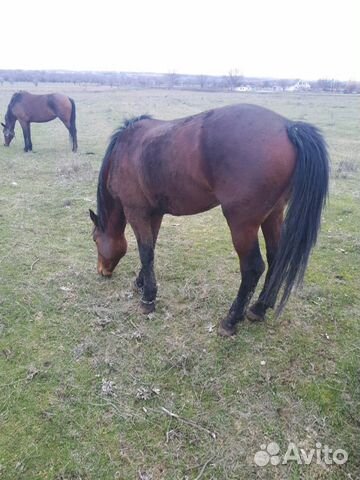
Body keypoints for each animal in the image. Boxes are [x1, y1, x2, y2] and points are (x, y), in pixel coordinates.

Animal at [89, 105, 330, 338]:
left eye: (94, 239)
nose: (101, 271)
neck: (123, 151)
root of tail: (289, 127)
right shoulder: (154, 214)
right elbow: (150, 250)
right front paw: (141, 283)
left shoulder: (136, 212)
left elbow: (145, 252)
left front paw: (148, 299)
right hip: (273, 214)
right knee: (276, 258)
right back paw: (259, 308)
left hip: (242, 225)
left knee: (253, 268)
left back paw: (231, 320)